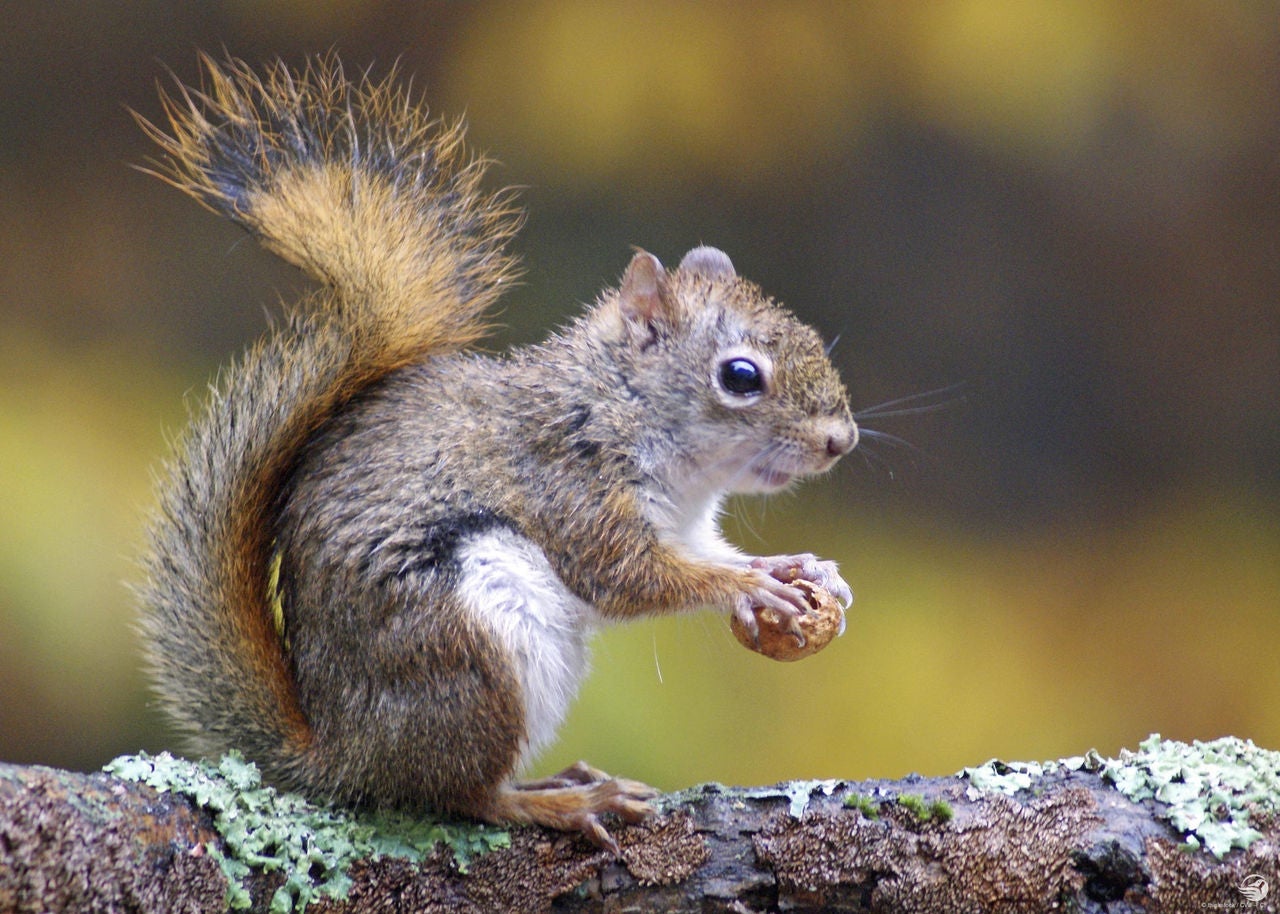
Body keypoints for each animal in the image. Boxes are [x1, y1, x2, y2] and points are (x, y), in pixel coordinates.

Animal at [135, 53, 858, 853]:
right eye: (740, 376)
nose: (841, 441)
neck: (622, 409)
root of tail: (343, 755)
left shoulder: (688, 523)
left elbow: (705, 554)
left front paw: (797, 568)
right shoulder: (571, 484)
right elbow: (631, 577)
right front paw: (748, 587)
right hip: (470, 643)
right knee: (459, 795)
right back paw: (561, 802)